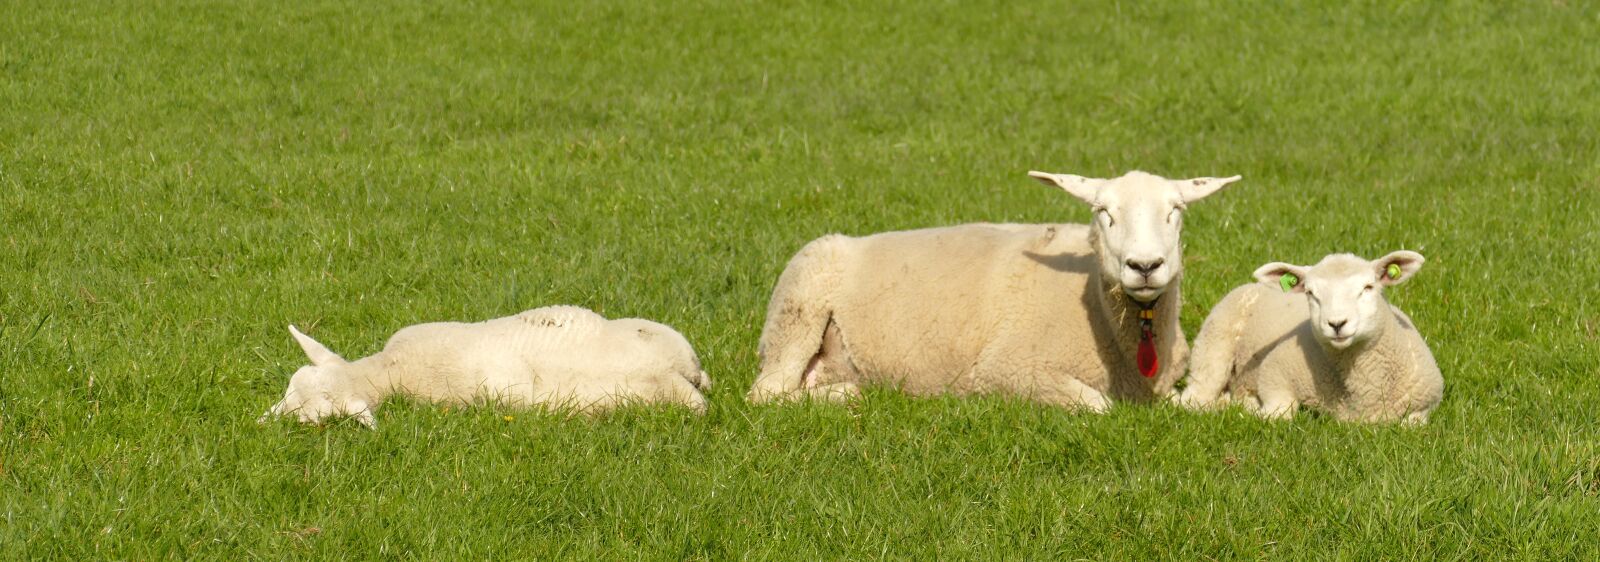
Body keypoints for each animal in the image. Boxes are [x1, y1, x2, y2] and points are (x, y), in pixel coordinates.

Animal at [746, 170, 1241, 410]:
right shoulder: (1009, 367)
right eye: (1104, 213)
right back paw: (847, 395)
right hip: (798, 310)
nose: (1145, 266)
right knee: (766, 393)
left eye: (1175, 211)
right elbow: (1099, 404)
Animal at [1175, 251, 1443, 424]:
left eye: (1368, 287)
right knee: (1193, 399)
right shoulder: (1274, 368)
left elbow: (1412, 423)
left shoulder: (1426, 403)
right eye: (1311, 293)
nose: (1337, 323)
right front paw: (1253, 408)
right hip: (1212, 348)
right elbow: (1281, 412)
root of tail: (1251, 286)